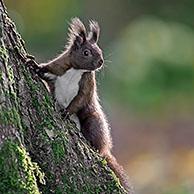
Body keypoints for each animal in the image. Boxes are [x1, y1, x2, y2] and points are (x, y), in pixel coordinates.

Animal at [27, 17, 133, 192]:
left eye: (100, 50)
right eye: (86, 52)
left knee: (96, 142)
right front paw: (34, 65)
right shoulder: (57, 68)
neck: (76, 70)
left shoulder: (87, 85)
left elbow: (80, 100)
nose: (100, 62)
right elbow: (46, 71)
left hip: (92, 122)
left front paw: (66, 112)